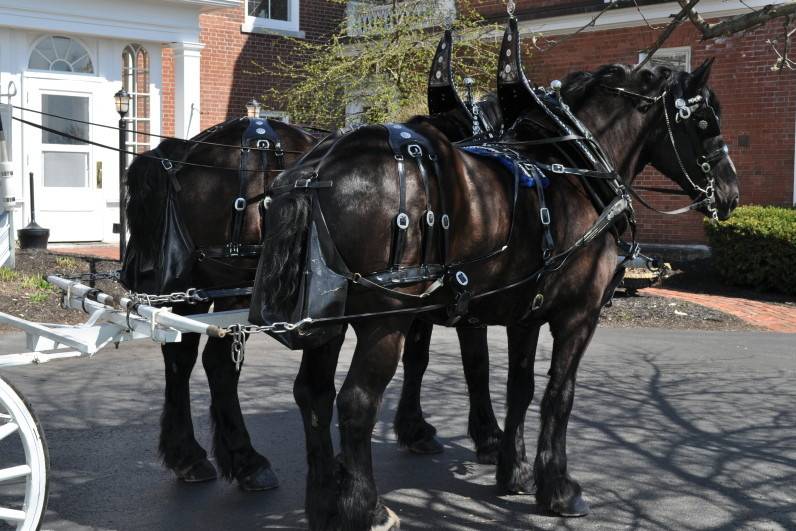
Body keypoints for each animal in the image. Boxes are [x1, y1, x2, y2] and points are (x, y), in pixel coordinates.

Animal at [255, 21, 740, 531]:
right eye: (705, 122)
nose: (730, 192)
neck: (573, 167)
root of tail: (320, 166)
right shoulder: (577, 315)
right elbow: (558, 394)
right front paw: (558, 486)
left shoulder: (525, 311)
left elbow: (518, 387)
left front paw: (515, 469)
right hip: (384, 321)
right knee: (356, 403)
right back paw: (364, 507)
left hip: (327, 320)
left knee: (313, 394)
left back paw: (323, 501)